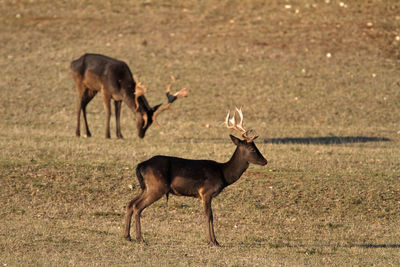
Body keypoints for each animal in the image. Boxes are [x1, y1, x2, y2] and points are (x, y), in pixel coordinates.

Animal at [124, 108, 268, 247]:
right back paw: (140, 239)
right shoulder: (206, 192)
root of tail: (141, 166)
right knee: (137, 206)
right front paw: (213, 241)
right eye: (252, 149)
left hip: (146, 188)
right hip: (157, 187)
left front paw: (213, 240)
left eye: (256, 146)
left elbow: (210, 215)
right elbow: (208, 215)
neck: (223, 174)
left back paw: (128, 237)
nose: (265, 161)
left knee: (130, 203)